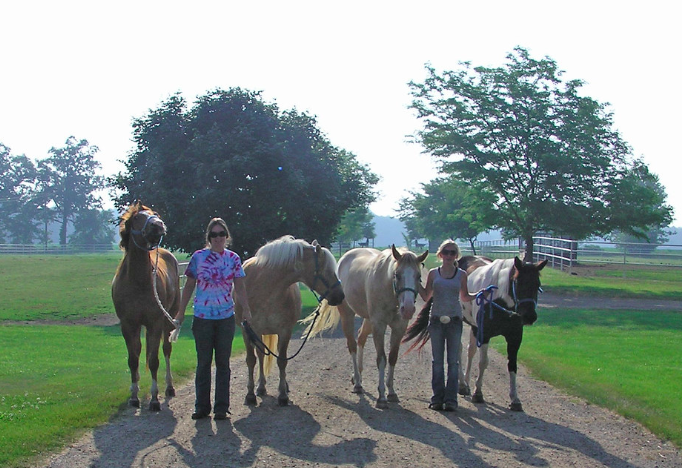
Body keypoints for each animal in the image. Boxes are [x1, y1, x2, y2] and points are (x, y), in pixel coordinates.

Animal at [109, 201, 178, 410]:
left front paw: (154, 399)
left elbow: (154, 360)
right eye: (138, 217)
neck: (138, 280)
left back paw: (169, 387)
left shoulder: (155, 323)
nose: (158, 225)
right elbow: (133, 359)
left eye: (155, 213)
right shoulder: (128, 324)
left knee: (166, 350)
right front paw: (134, 396)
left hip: (169, 319)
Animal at [235, 236, 346, 408]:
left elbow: (282, 361)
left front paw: (282, 395)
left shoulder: (285, 331)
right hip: (258, 334)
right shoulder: (247, 331)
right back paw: (260, 387)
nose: (340, 295)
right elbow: (251, 360)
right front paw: (250, 395)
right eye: (326, 270)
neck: (264, 288)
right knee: (260, 356)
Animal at [302, 247, 424, 408]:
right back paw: (358, 384)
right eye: (397, 275)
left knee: (361, 338)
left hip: (368, 320)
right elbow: (381, 359)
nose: (408, 309)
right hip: (348, 314)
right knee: (352, 345)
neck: (388, 288)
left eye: (419, 276)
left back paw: (358, 375)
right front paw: (382, 397)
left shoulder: (399, 327)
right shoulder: (379, 325)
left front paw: (391, 392)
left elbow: (392, 358)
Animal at [456, 254, 548, 412]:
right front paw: (478, 393)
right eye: (518, 282)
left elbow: (512, 365)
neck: (499, 300)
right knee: (460, 349)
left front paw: (515, 399)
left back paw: (466, 382)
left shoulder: (514, 338)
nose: (529, 316)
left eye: (537, 284)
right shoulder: (485, 335)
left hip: (475, 327)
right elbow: (483, 362)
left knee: (470, 351)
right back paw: (462, 384)